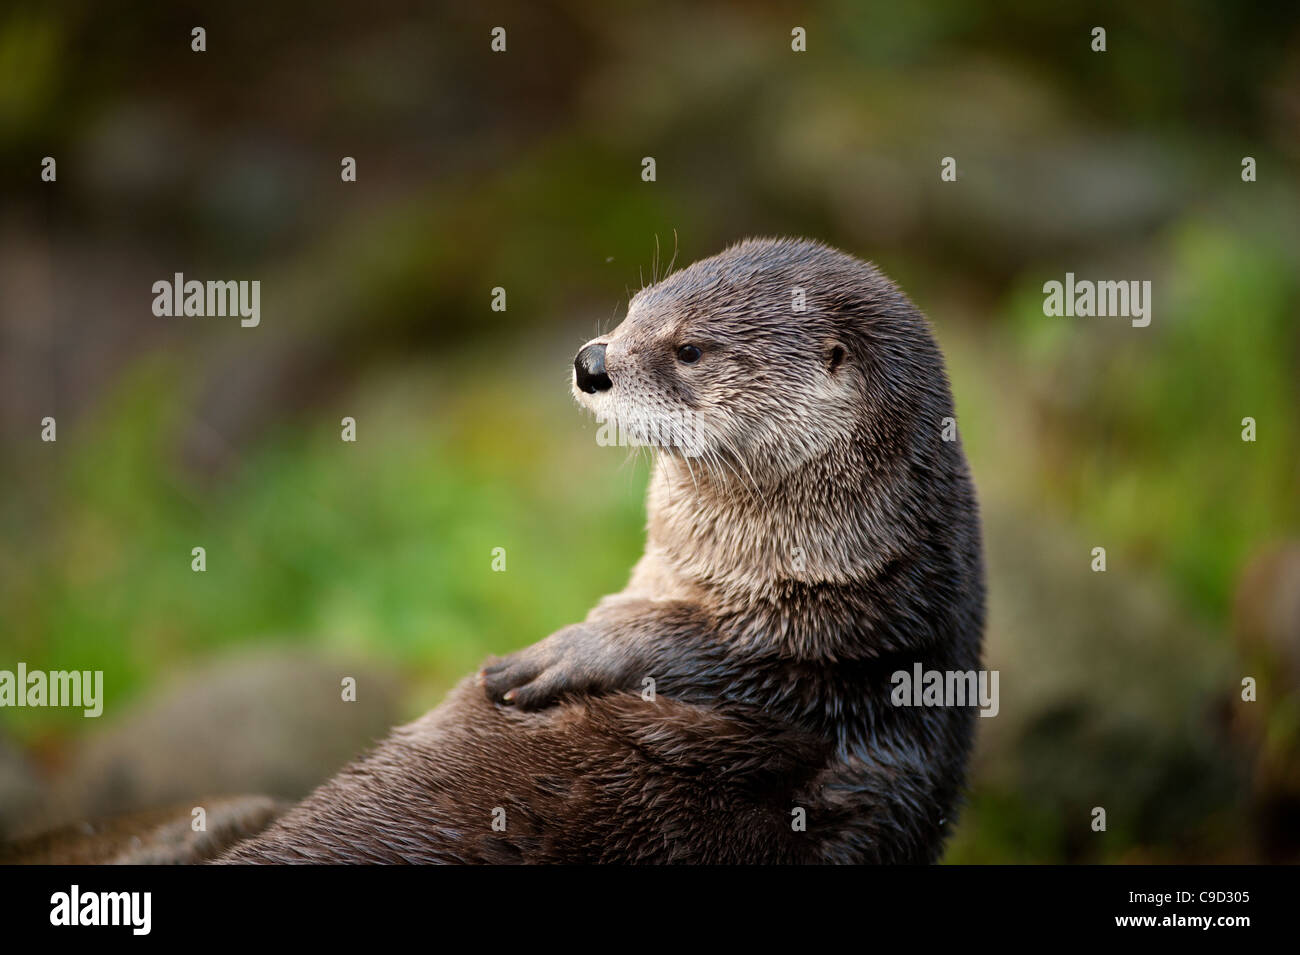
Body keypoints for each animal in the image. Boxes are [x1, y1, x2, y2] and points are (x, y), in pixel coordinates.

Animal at [219, 237, 985, 864]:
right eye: (635, 308)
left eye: (689, 349)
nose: (592, 362)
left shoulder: (821, 662)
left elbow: (703, 648)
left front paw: (573, 652)